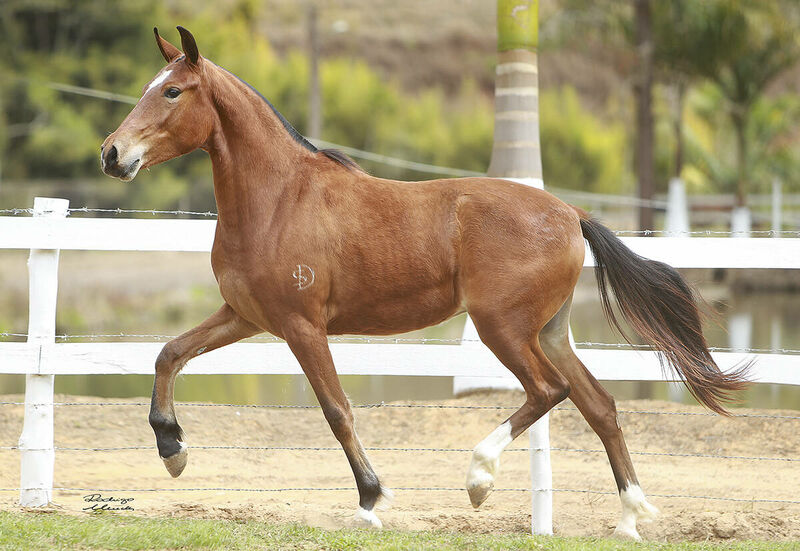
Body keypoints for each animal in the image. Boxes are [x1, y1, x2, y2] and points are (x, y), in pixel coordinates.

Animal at [101, 28, 752, 540]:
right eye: (149, 87)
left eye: (172, 91)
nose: (111, 153)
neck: (281, 198)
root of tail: (570, 213)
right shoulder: (246, 315)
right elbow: (168, 354)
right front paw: (172, 450)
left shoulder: (301, 326)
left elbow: (336, 410)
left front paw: (370, 502)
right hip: (549, 331)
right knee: (600, 405)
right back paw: (630, 517)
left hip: (503, 329)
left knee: (550, 391)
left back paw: (479, 478)